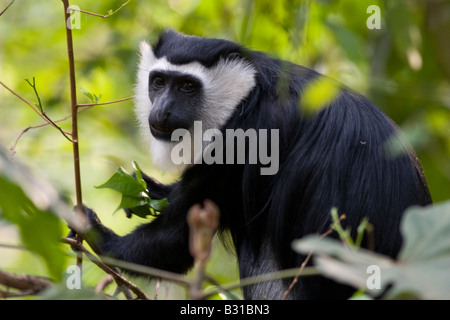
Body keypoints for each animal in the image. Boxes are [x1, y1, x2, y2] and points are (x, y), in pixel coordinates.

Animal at [81, 28, 432, 298]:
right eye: (158, 81)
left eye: (187, 86)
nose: (162, 110)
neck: (249, 92)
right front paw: (151, 189)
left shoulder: (248, 137)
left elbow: (176, 237)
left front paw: (95, 233)